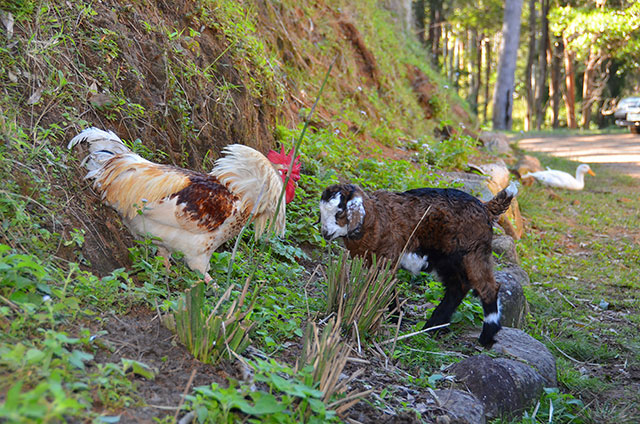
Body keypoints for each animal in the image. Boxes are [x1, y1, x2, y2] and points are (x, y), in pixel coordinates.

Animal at [318, 181, 516, 344]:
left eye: (340, 212)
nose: (325, 233)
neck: (375, 218)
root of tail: (486, 207)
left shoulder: (387, 258)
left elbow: (386, 288)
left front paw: (395, 316)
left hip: (473, 252)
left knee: (488, 287)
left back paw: (486, 335)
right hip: (447, 258)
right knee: (458, 287)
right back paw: (433, 326)